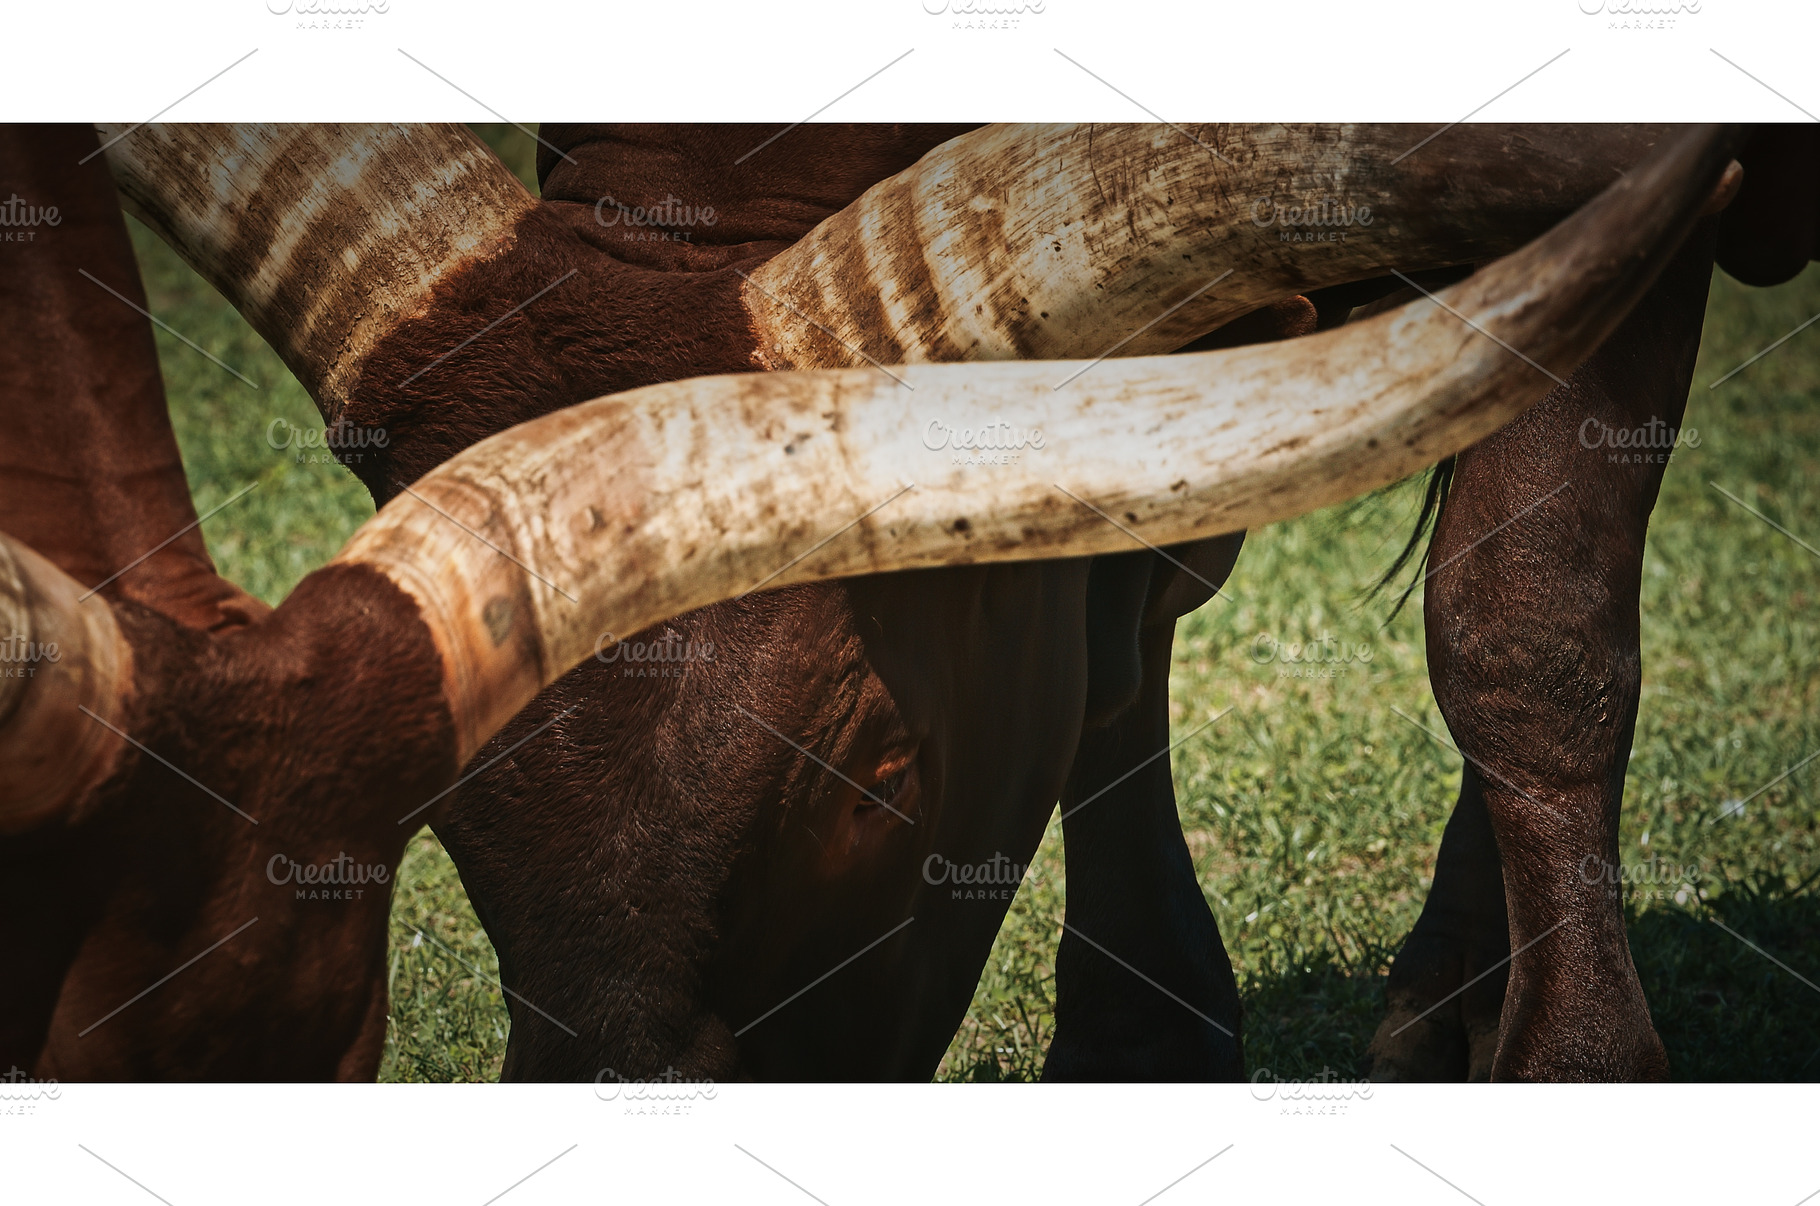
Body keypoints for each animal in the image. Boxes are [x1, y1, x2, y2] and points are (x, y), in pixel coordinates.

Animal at [43, 119, 1741, 1080]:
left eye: (873, 769)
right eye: (443, 784)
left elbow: (1524, 624)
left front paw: (1582, 1067)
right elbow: (1122, 625)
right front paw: (1141, 1039)